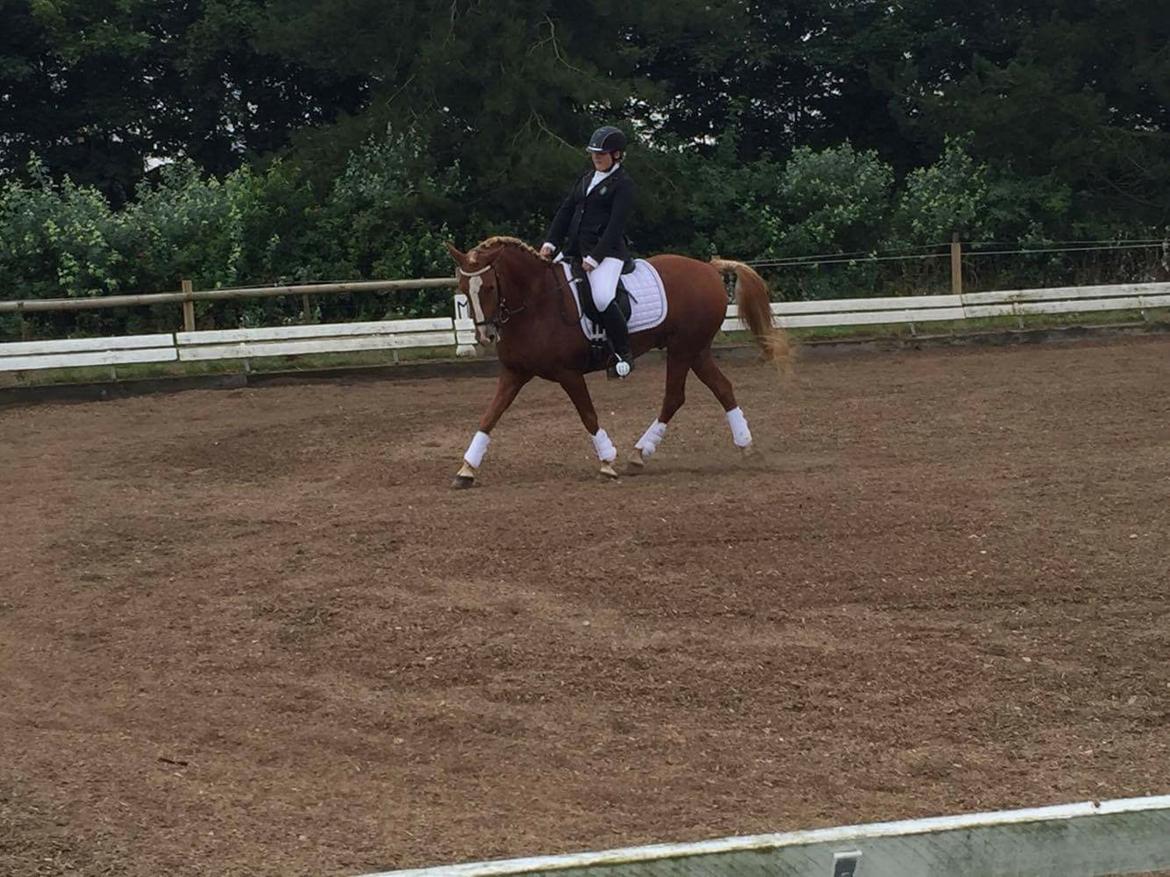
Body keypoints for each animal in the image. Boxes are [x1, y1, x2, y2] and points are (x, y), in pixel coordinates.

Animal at [442, 235, 790, 488]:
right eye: (463, 288)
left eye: (489, 287)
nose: (486, 335)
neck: (537, 302)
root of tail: (708, 268)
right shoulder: (514, 373)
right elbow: (490, 416)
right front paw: (466, 469)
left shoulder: (568, 373)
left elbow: (588, 415)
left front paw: (607, 462)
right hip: (697, 351)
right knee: (722, 388)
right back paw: (744, 446)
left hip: (682, 349)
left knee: (675, 396)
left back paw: (640, 453)